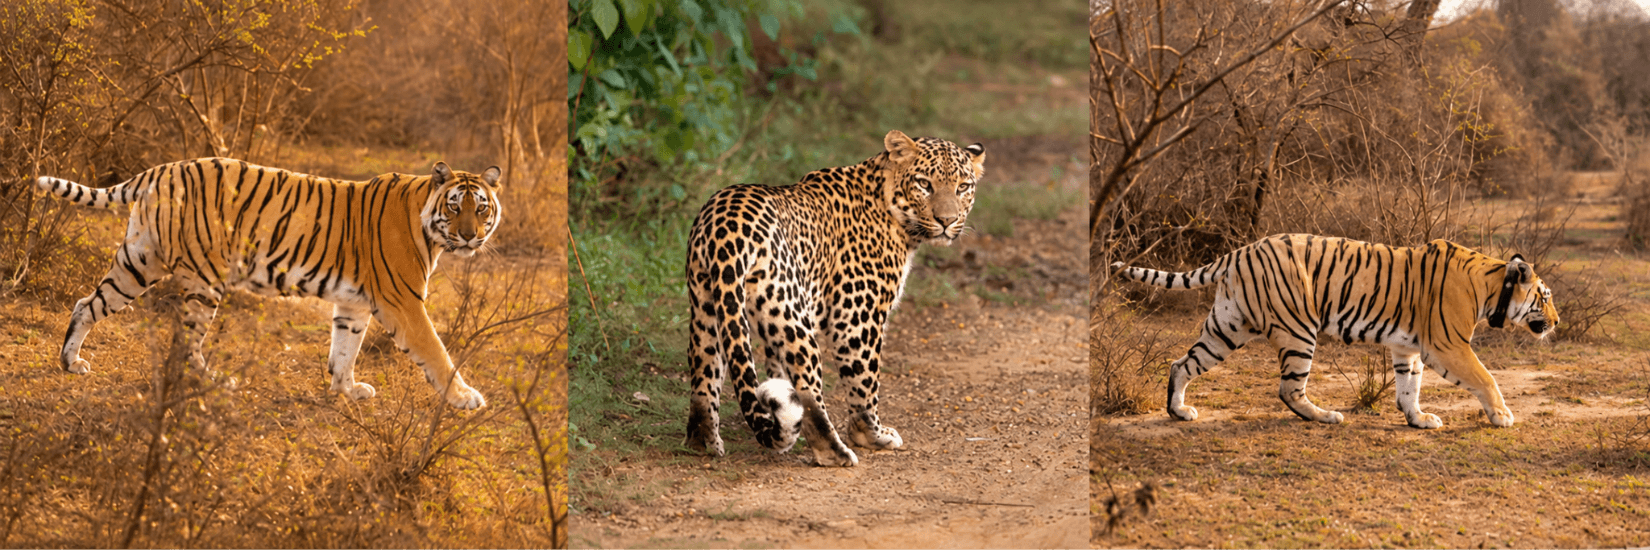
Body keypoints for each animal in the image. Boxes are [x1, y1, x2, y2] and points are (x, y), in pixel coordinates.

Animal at [34, 158, 501, 409]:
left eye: (481, 209)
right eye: (455, 206)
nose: (469, 236)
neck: (427, 224)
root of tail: (160, 170)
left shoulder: (354, 304)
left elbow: (345, 349)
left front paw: (347, 390)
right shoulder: (403, 300)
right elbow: (436, 352)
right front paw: (465, 397)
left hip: (139, 261)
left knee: (86, 304)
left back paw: (70, 362)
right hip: (203, 278)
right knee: (186, 341)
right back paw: (215, 382)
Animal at [1111, 233, 1559, 429]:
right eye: (1545, 296)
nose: (1556, 322)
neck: (1492, 285)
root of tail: (1240, 251)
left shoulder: (1408, 348)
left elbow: (1408, 387)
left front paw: (1417, 418)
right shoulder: (1448, 346)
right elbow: (1486, 378)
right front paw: (1502, 416)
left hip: (1226, 327)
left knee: (1181, 363)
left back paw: (1178, 411)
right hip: (1298, 330)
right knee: (1289, 389)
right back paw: (1326, 416)